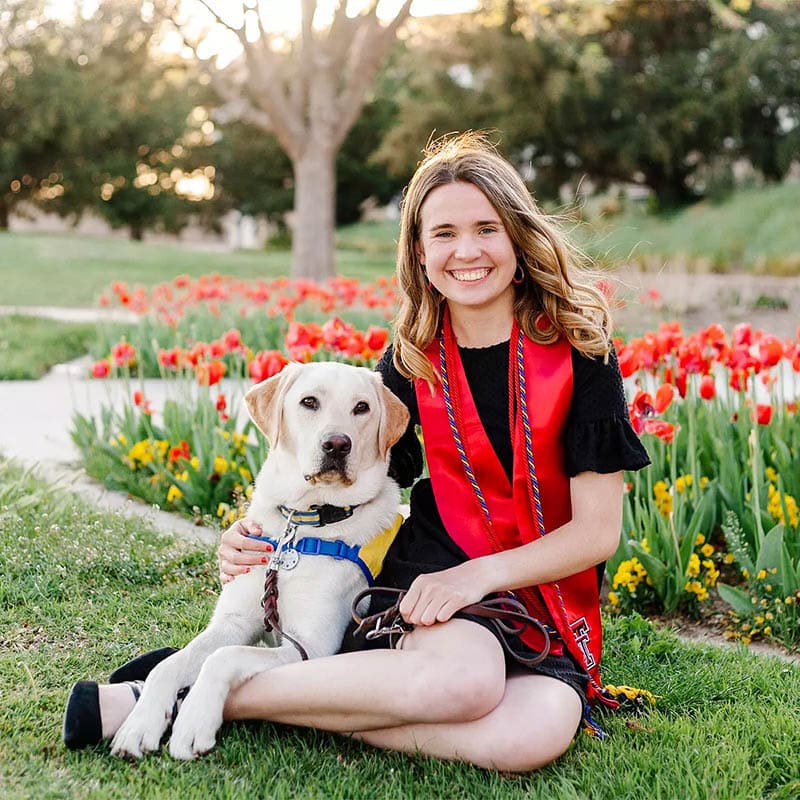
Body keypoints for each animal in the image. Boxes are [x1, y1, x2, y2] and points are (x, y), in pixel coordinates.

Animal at [110, 360, 410, 760]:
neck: (301, 526)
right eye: (309, 401)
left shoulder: (308, 649)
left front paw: (194, 721)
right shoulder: (234, 621)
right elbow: (172, 663)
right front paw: (140, 724)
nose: (336, 444)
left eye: (361, 407)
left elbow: (223, 657)